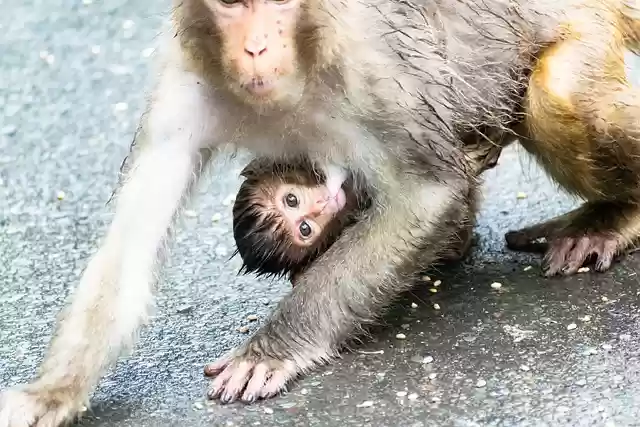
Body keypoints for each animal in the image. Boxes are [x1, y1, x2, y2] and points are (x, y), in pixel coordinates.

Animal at [2, 0, 640, 425]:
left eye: (279, 4)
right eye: (230, 5)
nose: (256, 47)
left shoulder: (371, 69)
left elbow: (428, 192)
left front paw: (271, 350)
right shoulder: (186, 84)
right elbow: (128, 253)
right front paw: (50, 395)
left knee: (555, 89)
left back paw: (615, 215)